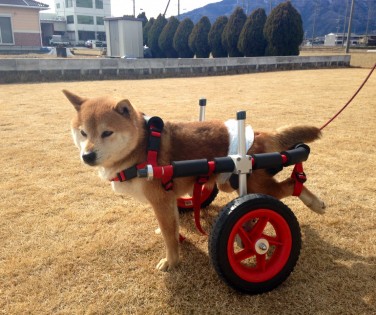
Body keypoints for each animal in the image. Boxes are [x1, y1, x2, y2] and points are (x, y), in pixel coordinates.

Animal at [63, 90, 324, 272]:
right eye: (83, 133)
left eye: (107, 133)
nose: (87, 155)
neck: (141, 148)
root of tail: (259, 134)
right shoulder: (168, 200)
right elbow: (172, 226)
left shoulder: (160, 200)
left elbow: (170, 237)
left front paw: (171, 262)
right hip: (227, 181)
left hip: (249, 182)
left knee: (291, 185)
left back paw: (314, 203)